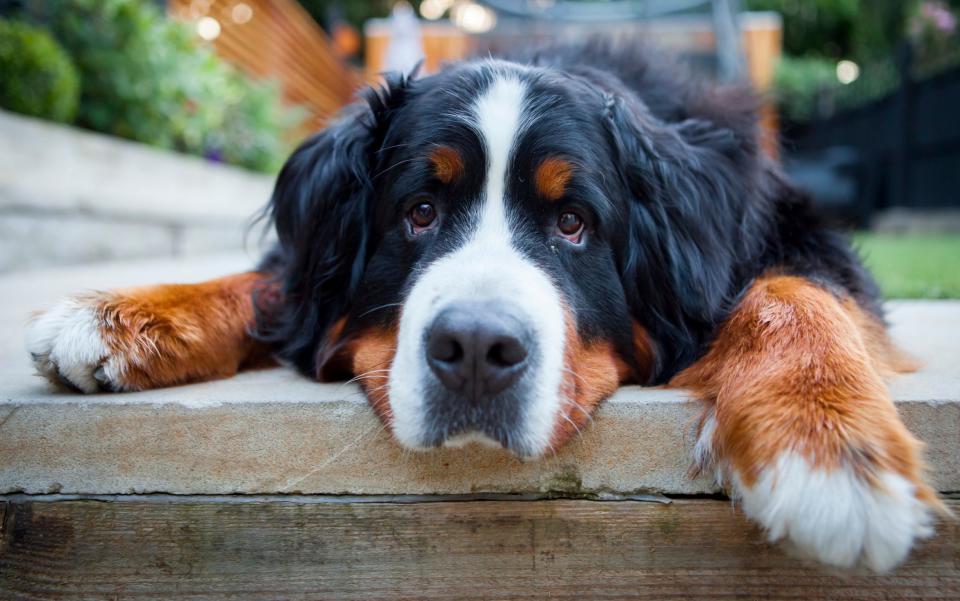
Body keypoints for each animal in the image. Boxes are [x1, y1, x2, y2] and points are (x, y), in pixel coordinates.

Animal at [24, 42, 944, 572]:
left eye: (574, 223)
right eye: (419, 211)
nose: (473, 347)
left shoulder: (792, 235)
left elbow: (793, 291)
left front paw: (826, 449)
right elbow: (271, 283)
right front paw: (119, 315)